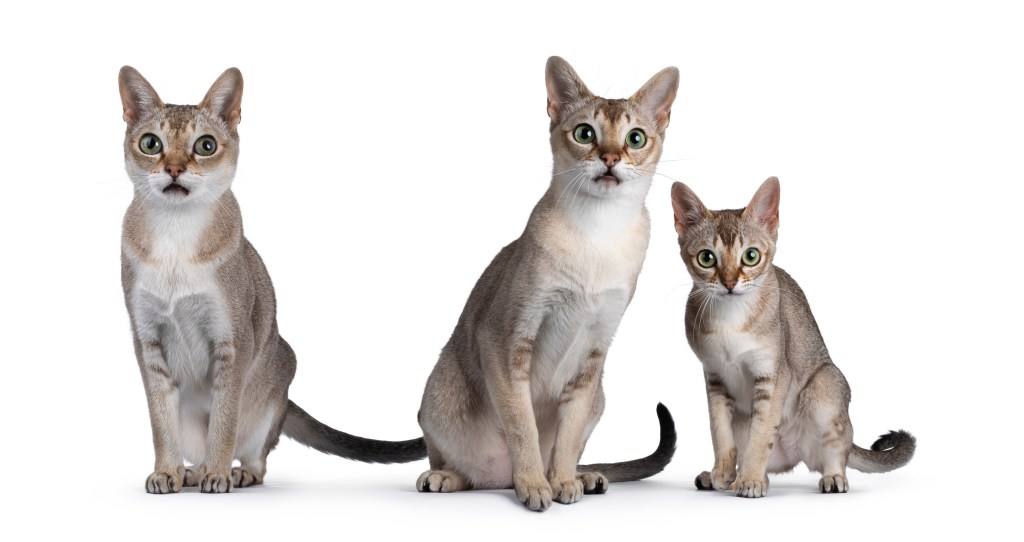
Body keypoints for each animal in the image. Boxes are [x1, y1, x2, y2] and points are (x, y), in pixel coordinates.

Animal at [117, 65, 425, 491]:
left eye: (205, 146)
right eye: (150, 143)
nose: (174, 169)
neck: (175, 238)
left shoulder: (233, 338)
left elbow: (224, 421)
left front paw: (218, 472)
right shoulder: (146, 339)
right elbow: (161, 423)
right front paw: (167, 471)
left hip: (273, 389)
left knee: (259, 459)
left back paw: (235, 471)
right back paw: (192, 472)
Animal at [411, 57, 684, 510]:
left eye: (636, 138)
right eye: (585, 133)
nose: (610, 158)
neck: (598, 235)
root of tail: (497, 479)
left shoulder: (595, 352)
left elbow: (568, 437)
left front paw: (561, 481)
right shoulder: (505, 339)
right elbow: (522, 426)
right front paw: (535, 485)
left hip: (600, 397)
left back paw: (583, 476)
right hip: (439, 394)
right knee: (462, 469)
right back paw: (449, 476)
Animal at [667, 176, 917, 493]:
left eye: (750, 256)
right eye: (706, 258)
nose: (730, 283)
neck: (730, 319)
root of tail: (791, 454)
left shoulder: (773, 375)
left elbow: (761, 435)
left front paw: (750, 481)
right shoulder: (714, 377)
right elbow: (719, 433)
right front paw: (723, 472)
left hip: (825, 385)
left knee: (837, 450)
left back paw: (829, 478)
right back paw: (727, 477)